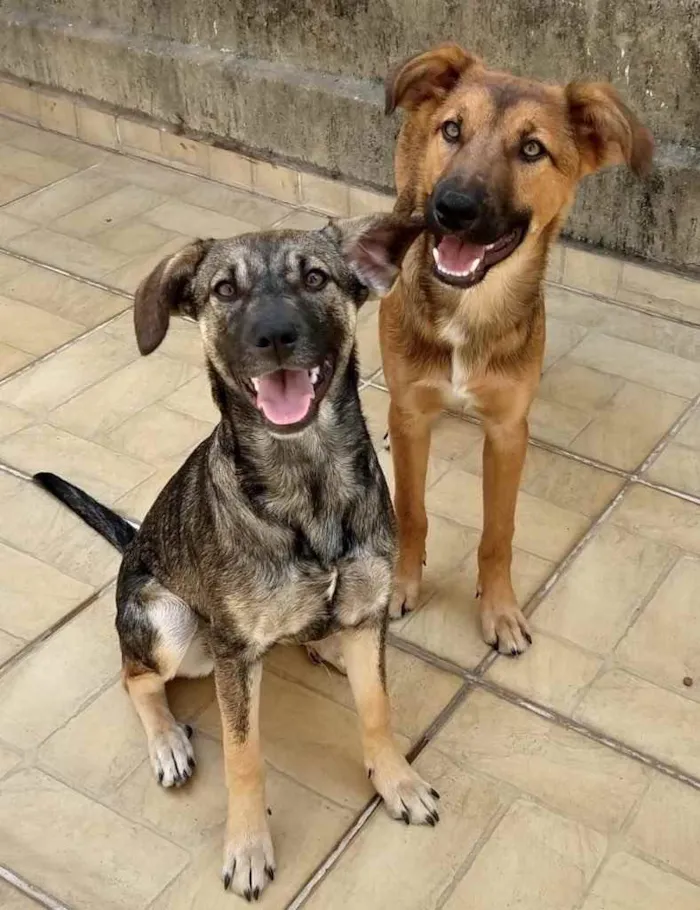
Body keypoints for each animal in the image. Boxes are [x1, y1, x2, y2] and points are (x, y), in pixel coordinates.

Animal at [37, 216, 438, 904]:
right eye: (224, 289)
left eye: (316, 278)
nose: (274, 336)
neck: (307, 481)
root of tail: (131, 544)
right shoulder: (233, 654)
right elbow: (243, 757)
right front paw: (248, 849)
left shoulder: (368, 611)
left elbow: (377, 709)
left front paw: (397, 780)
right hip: (171, 625)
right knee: (134, 676)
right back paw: (168, 742)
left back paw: (326, 648)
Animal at [380, 44, 652, 656]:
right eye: (452, 130)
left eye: (532, 149)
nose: (451, 207)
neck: (469, 308)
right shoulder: (413, 413)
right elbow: (411, 509)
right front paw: (403, 583)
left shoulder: (507, 431)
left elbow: (498, 532)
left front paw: (499, 610)